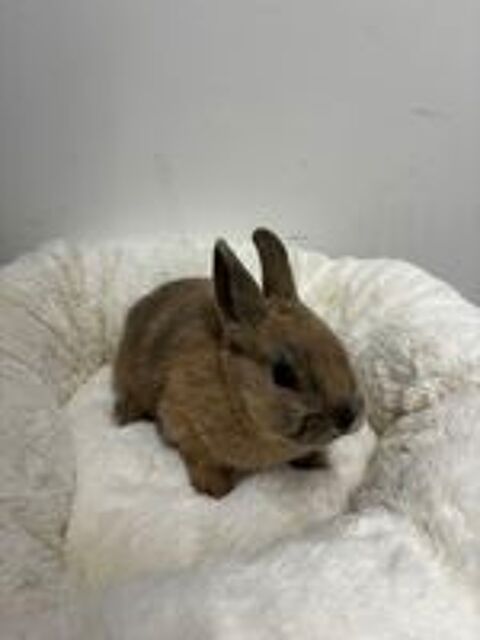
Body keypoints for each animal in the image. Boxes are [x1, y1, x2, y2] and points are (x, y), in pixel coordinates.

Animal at [113, 228, 364, 498]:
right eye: (283, 374)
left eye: (339, 348)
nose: (348, 417)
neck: (235, 390)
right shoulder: (183, 424)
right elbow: (200, 458)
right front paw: (215, 490)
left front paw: (318, 462)